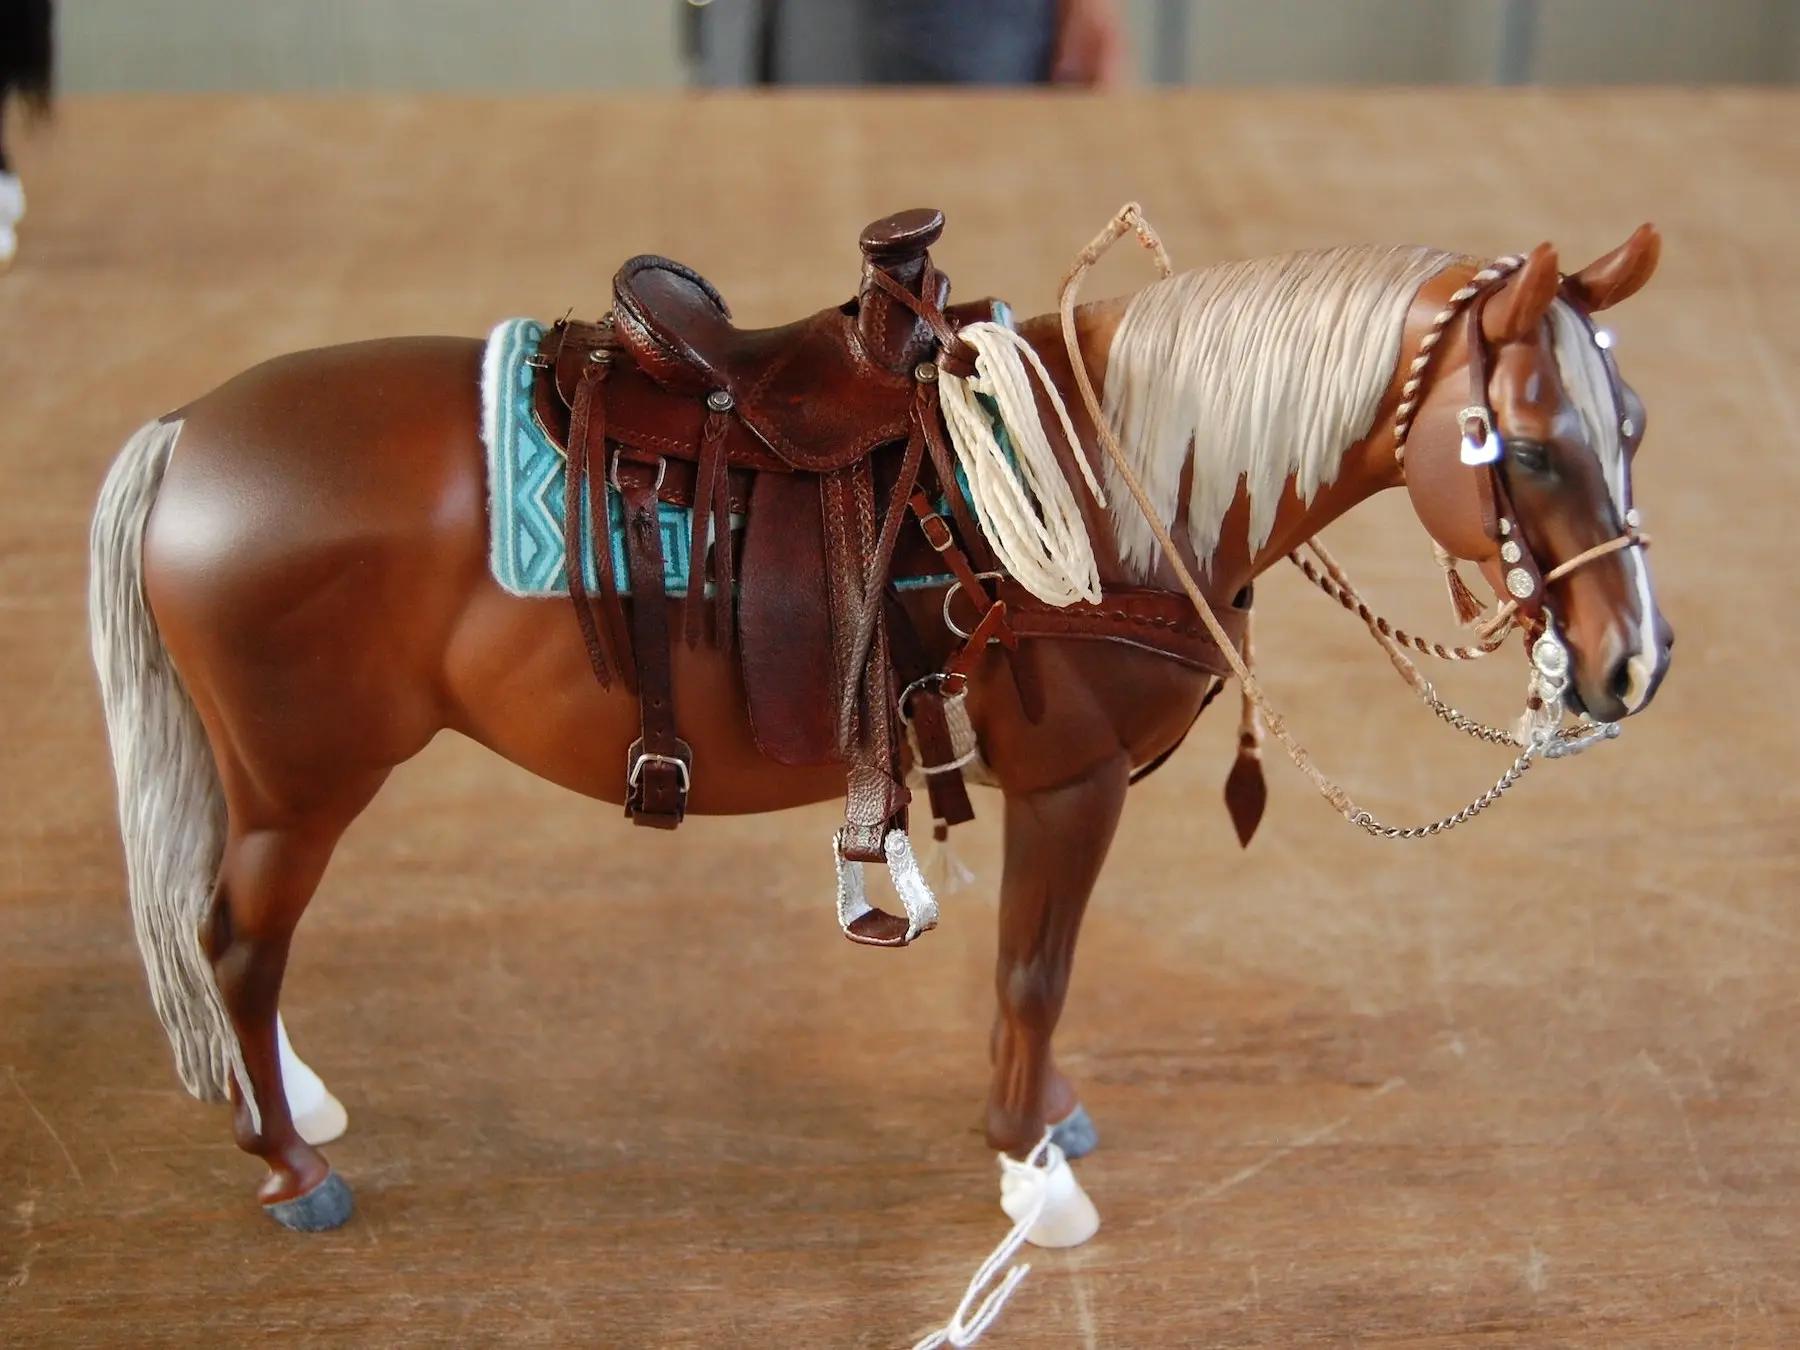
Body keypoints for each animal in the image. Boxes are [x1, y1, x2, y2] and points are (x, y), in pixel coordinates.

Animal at [87, 206, 1670, 1252]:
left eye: (1635, 423)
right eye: (1522, 446)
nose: (1630, 668)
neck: (1111, 477)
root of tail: (188, 433)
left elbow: (1030, 979)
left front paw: (1045, 1120)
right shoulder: (1072, 784)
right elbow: (1035, 970)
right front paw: (1034, 1166)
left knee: (231, 942)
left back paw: (291, 1099)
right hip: (305, 779)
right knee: (237, 941)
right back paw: (290, 1166)